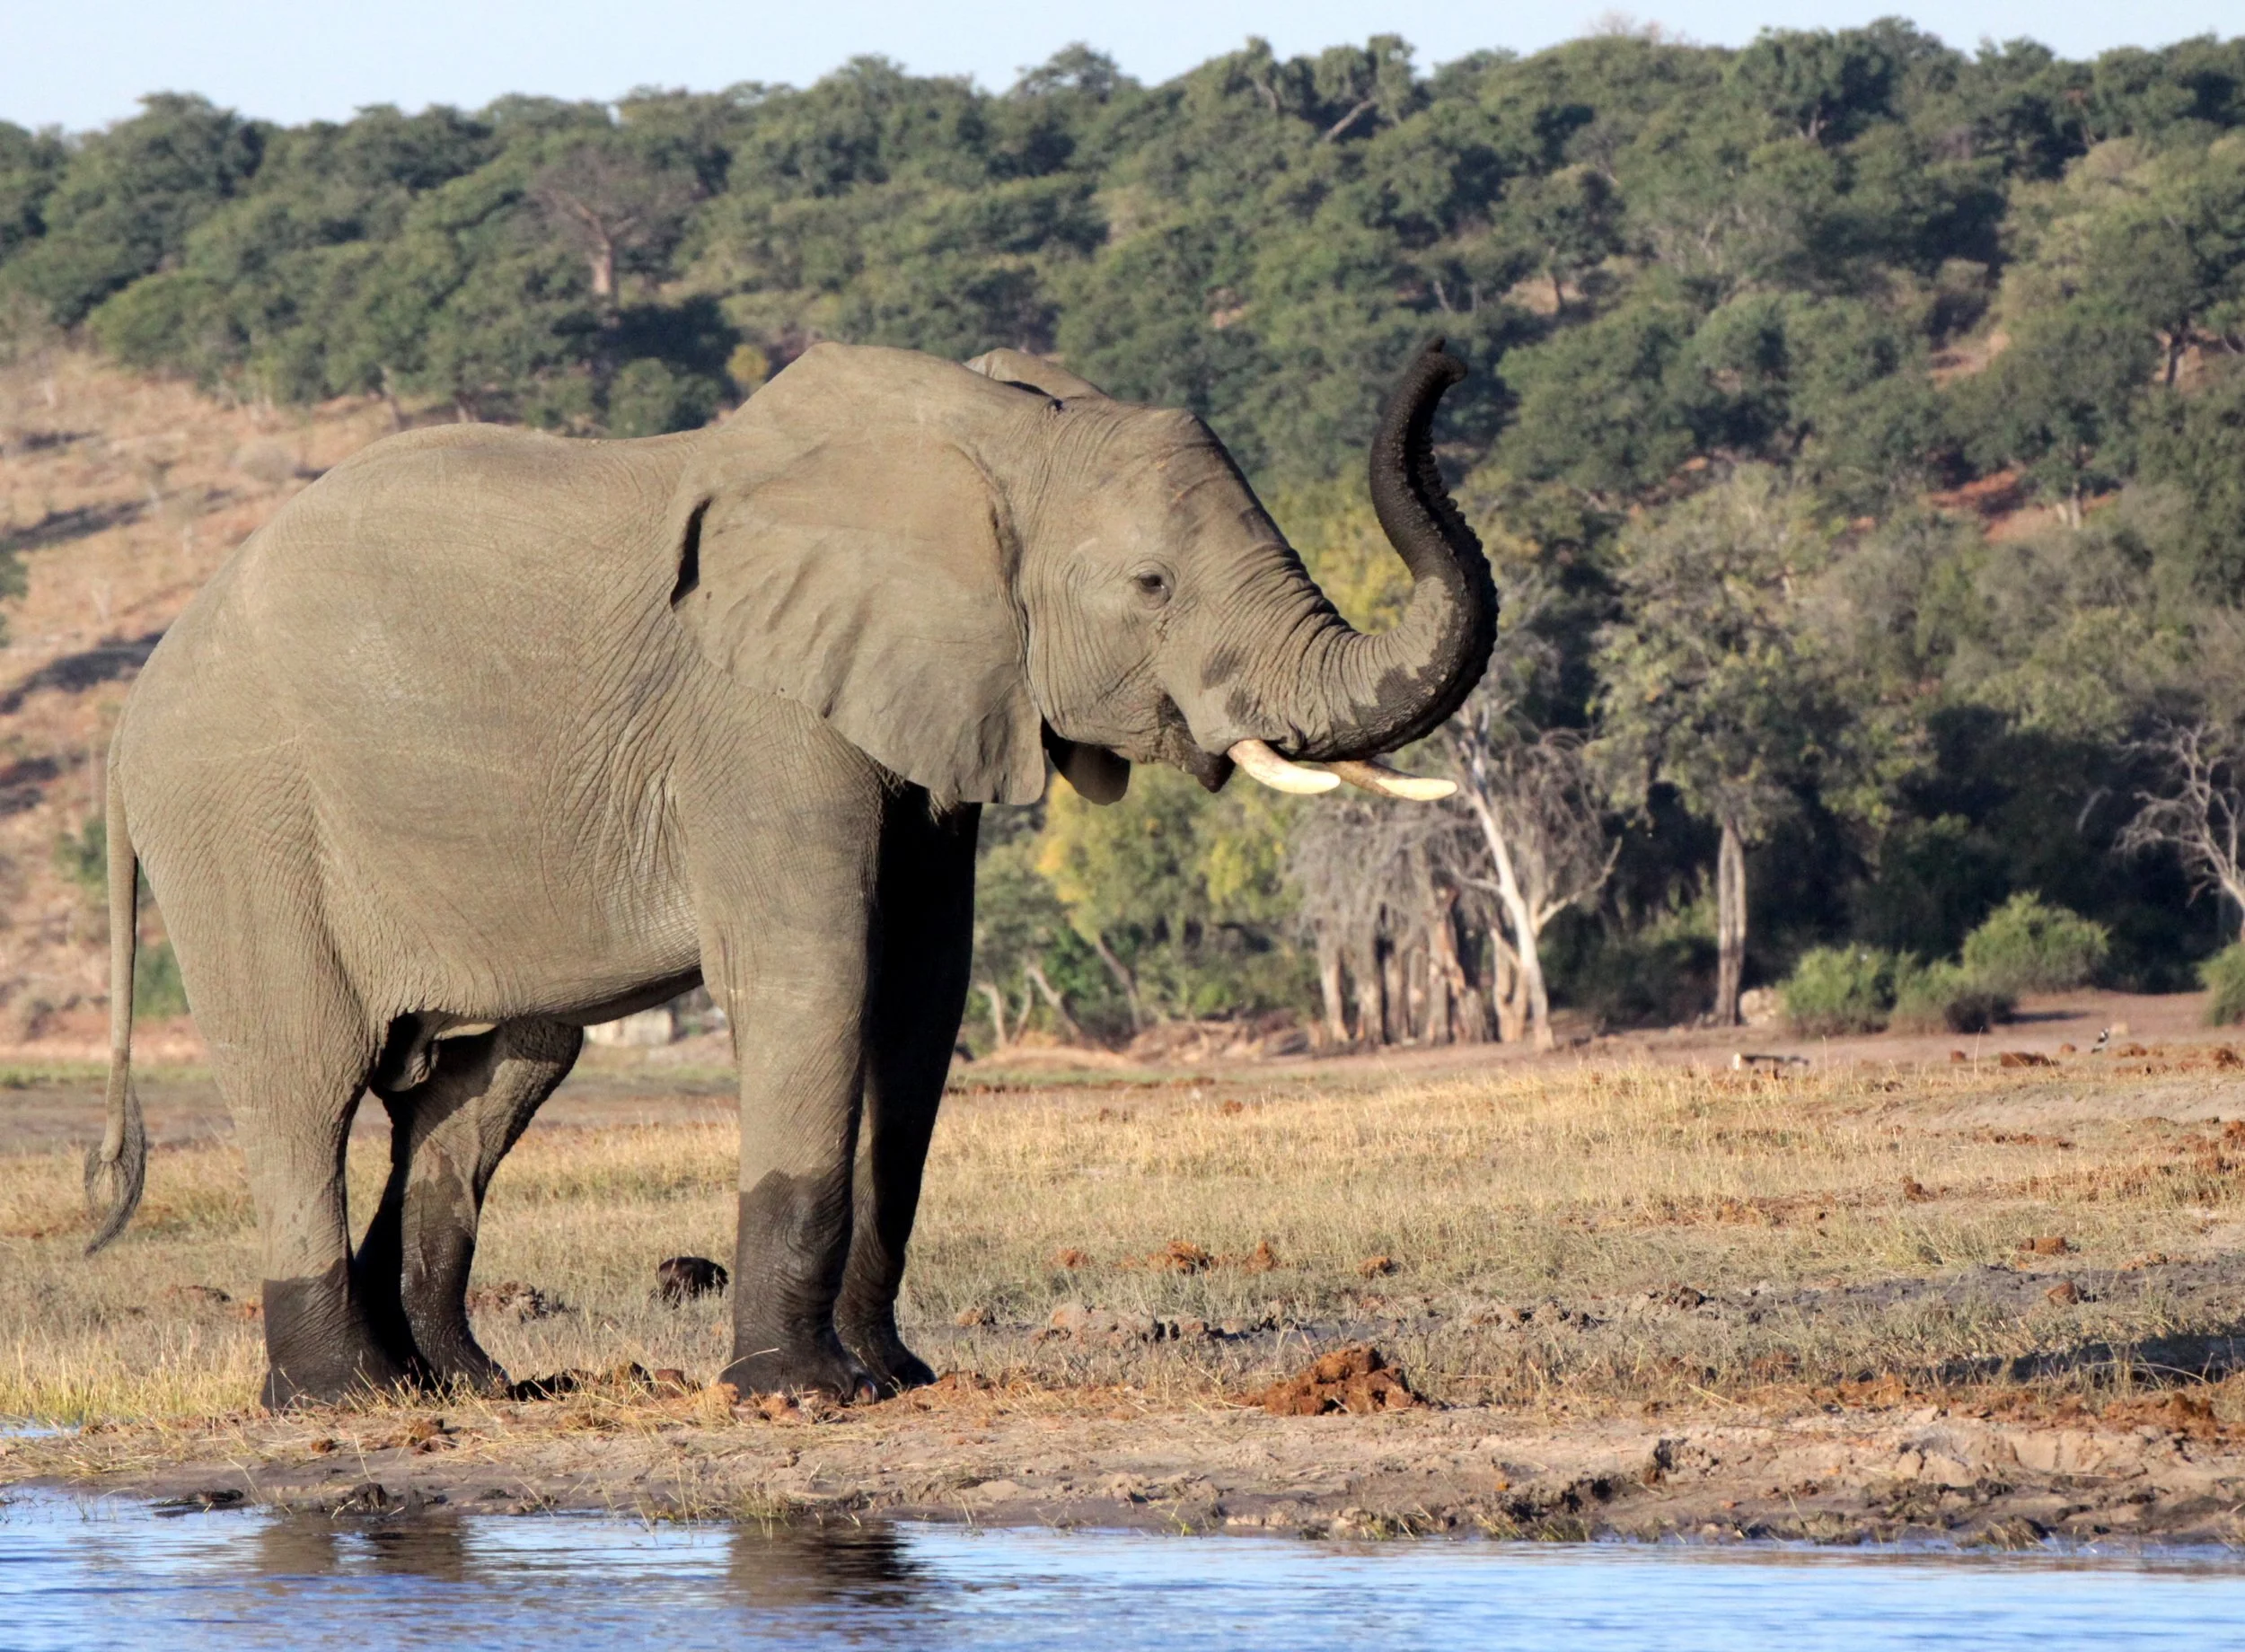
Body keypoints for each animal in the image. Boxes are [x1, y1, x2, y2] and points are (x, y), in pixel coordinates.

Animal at [81, 337, 1496, 1406]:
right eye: (1149, 585)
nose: (1448, 356)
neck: (995, 444)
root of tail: (140, 696)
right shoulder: (756, 715)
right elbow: (819, 974)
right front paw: (800, 1392)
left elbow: (920, 995)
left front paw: (894, 1379)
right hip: (239, 817)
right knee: (304, 1082)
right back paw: (344, 1396)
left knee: (493, 1079)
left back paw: (464, 1386)